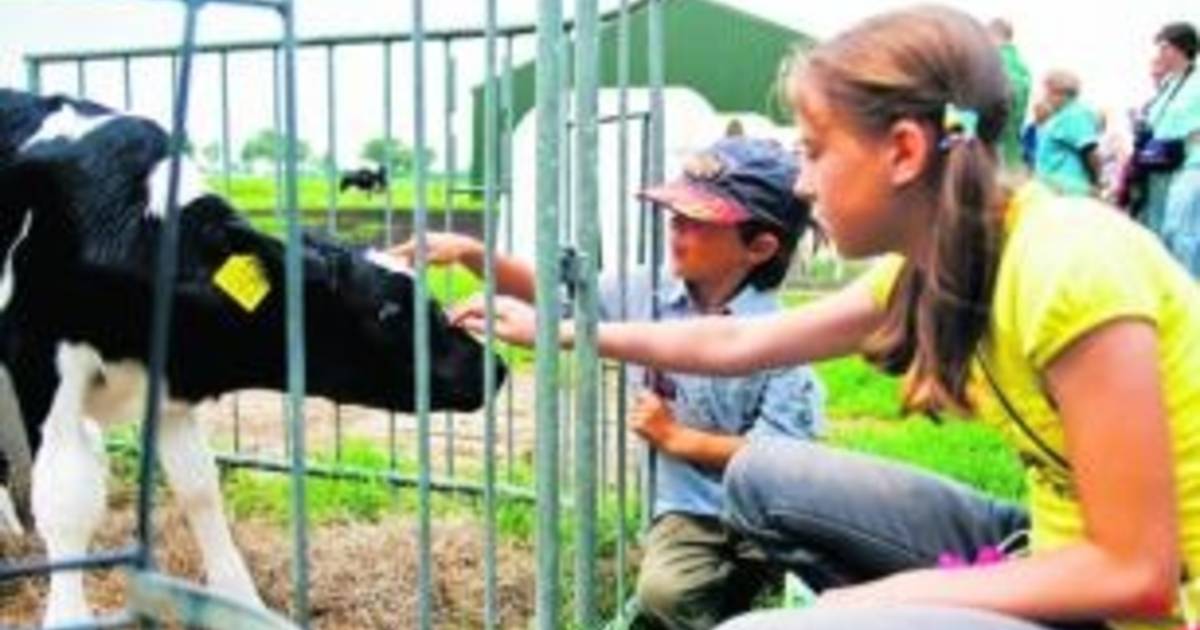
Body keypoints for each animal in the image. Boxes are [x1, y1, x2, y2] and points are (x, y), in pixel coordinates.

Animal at [0, 88, 501, 624]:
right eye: (389, 311)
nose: (494, 367)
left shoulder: (169, 385)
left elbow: (199, 486)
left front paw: (240, 599)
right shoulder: (42, 370)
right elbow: (67, 501)